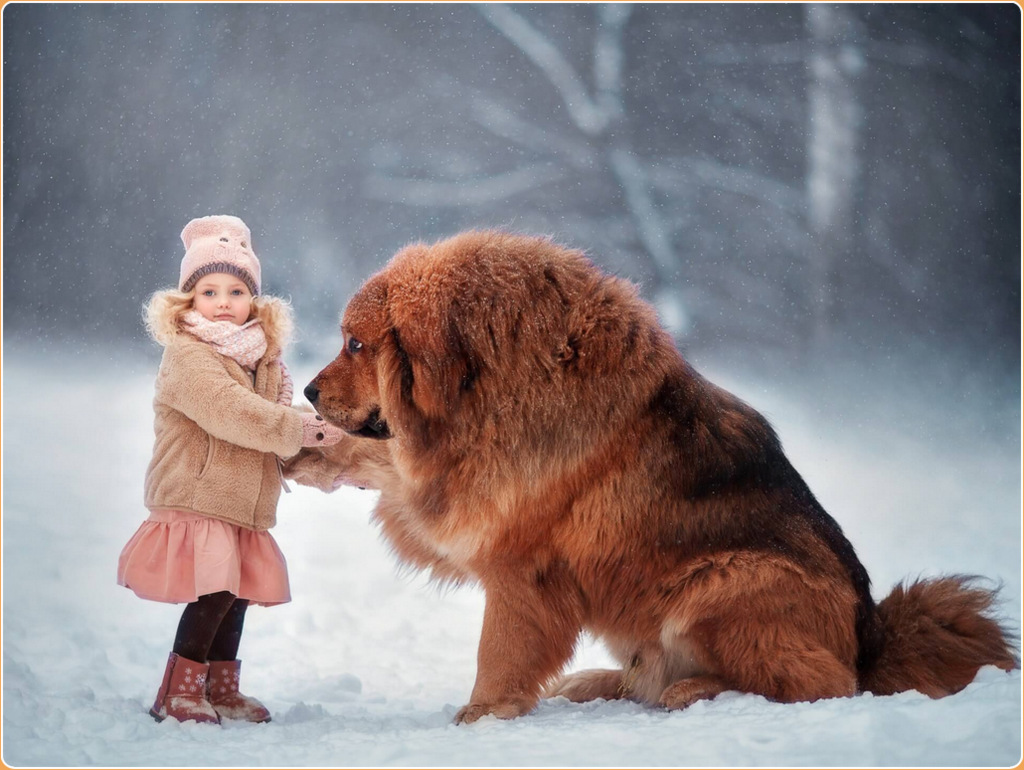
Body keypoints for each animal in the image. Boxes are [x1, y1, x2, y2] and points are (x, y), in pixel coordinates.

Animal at [286, 228, 1015, 720]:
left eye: (356, 343)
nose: (310, 392)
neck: (489, 383)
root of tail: (872, 639)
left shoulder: (515, 556)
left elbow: (499, 651)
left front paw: (483, 713)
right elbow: (382, 460)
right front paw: (308, 450)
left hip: (723, 582)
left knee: (821, 683)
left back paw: (695, 690)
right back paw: (600, 684)